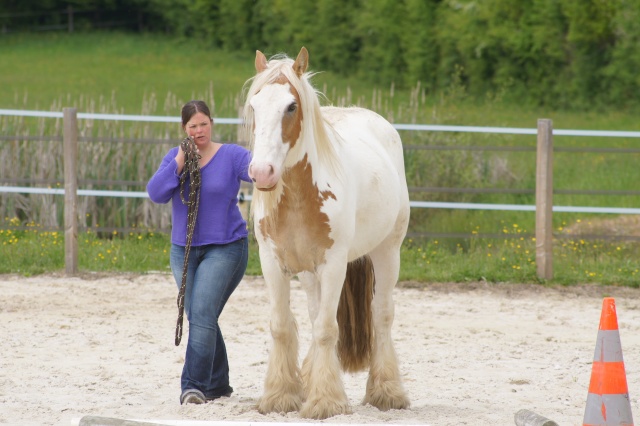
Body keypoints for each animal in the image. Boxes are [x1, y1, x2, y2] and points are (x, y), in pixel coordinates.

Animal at [240, 45, 410, 420]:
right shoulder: (272, 262)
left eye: (291, 106)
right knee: (316, 312)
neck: (300, 197)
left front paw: (325, 401)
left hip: (387, 253)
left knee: (382, 314)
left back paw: (387, 391)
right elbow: (283, 325)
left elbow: (327, 329)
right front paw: (281, 395)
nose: (262, 172)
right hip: (308, 273)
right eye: (255, 106)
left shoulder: (334, 265)